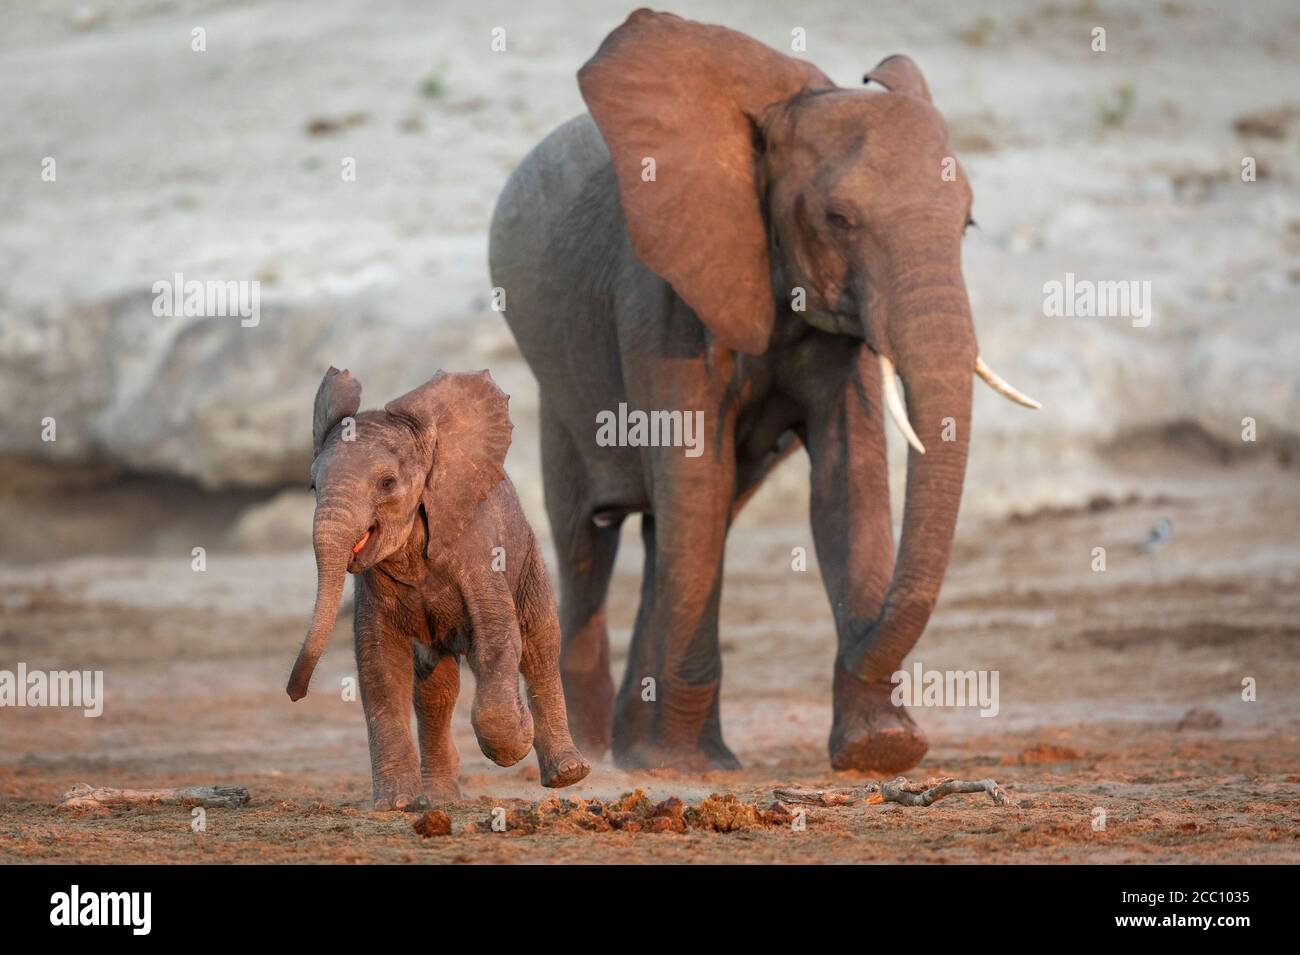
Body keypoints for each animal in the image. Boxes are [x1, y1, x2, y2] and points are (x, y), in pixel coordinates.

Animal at [288, 366, 590, 805]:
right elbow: (379, 662)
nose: (295, 694)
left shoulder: (478, 550)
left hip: (527, 558)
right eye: (312, 487)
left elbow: (498, 638)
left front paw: (519, 732)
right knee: (436, 687)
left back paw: (567, 774)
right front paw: (394, 804)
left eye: (387, 483)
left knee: (539, 646)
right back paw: (439, 800)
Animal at [488, 9, 1034, 779]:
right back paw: (598, 755)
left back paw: (639, 752)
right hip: (556, 385)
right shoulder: (665, 292)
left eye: (968, 224)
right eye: (839, 218)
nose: (861, 641)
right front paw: (689, 768)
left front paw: (880, 747)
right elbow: (696, 476)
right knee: (588, 540)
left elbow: (846, 482)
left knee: (680, 530)